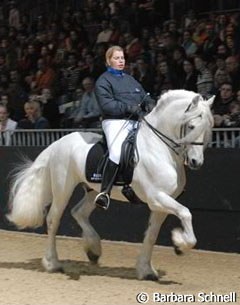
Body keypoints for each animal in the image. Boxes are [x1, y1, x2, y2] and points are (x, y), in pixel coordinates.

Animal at [6, 89, 214, 280]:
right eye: (191, 126)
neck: (159, 147)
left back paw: (93, 250)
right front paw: (180, 244)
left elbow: (152, 235)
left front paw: (147, 270)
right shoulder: (157, 198)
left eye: (207, 129)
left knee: (79, 212)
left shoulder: (161, 204)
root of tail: (57, 143)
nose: (196, 162)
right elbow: (186, 213)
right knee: (53, 219)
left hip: (93, 190)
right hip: (62, 188)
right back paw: (52, 263)